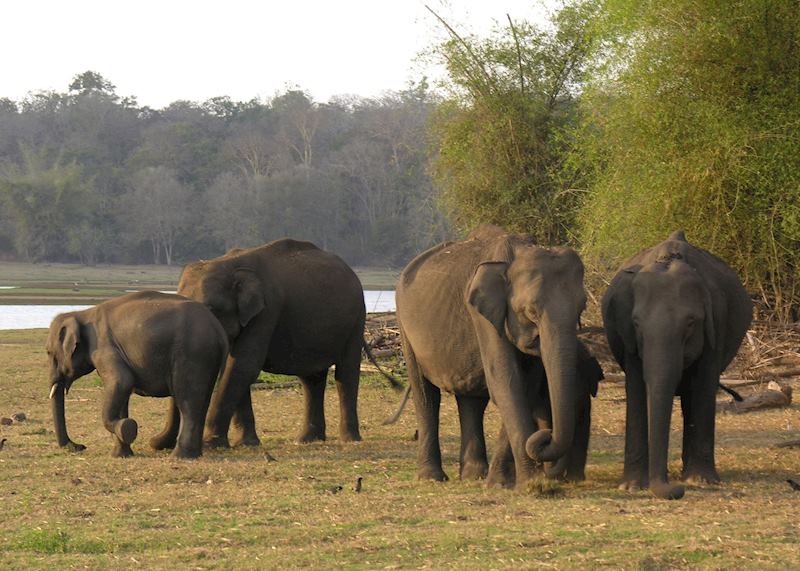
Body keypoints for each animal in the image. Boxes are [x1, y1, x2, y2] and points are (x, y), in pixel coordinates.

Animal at [46, 291, 228, 458]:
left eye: (48, 352)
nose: (80, 446)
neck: (83, 313)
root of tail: (218, 329)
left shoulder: (104, 348)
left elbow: (121, 382)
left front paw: (126, 428)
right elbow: (122, 391)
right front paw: (120, 454)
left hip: (193, 353)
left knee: (187, 402)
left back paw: (179, 456)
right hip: (207, 359)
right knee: (202, 402)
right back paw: (194, 455)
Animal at [177, 238, 402, 448]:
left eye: (211, 310)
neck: (229, 263)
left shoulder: (267, 311)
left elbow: (244, 365)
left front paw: (211, 444)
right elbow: (234, 367)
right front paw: (246, 443)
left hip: (355, 320)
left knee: (345, 373)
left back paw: (349, 439)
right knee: (312, 379)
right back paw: (307, 439)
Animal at [395, 225, 587, 489]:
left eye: (582, 308)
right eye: (531, 312)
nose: (545, 435)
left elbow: (523, 388)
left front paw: (503, 483)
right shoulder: (482, 316)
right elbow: (506, 382)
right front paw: (529, 485)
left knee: (471, 400)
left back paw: (474, 475)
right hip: (406, 328)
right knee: (425, 395)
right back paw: (432, 477)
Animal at [602, 230, 752, 499]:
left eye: (691, 323)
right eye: (637, 323)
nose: (676, 490)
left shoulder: (717, 323)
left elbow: (704, 385)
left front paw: (702, 481)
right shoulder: (628, 336)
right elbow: (636, 388)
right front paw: (631, 486)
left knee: (692, 398)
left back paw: (691, 475)